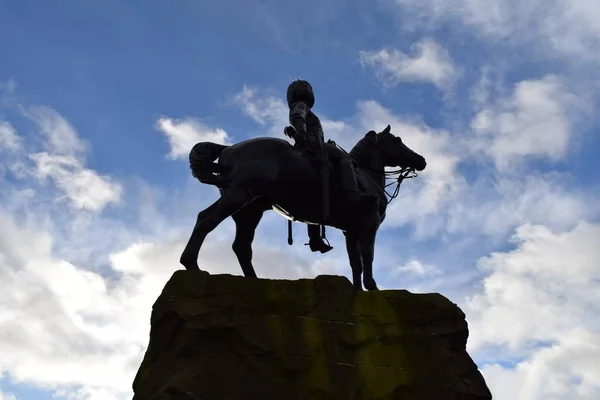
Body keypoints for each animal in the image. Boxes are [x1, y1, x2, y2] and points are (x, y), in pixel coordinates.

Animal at [179, 125, 426, 290]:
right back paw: (191, 265)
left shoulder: (350, 230)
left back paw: (254, 281)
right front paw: (372, 287)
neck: (364, 175)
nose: (421, 160)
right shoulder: (369, 222)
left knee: (241, 246)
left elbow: (355, 262)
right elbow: (368, 255)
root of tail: (228, 149)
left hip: (249, 211)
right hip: (238, 196)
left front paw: (358, 291)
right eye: (398, 140)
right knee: (206, 220)